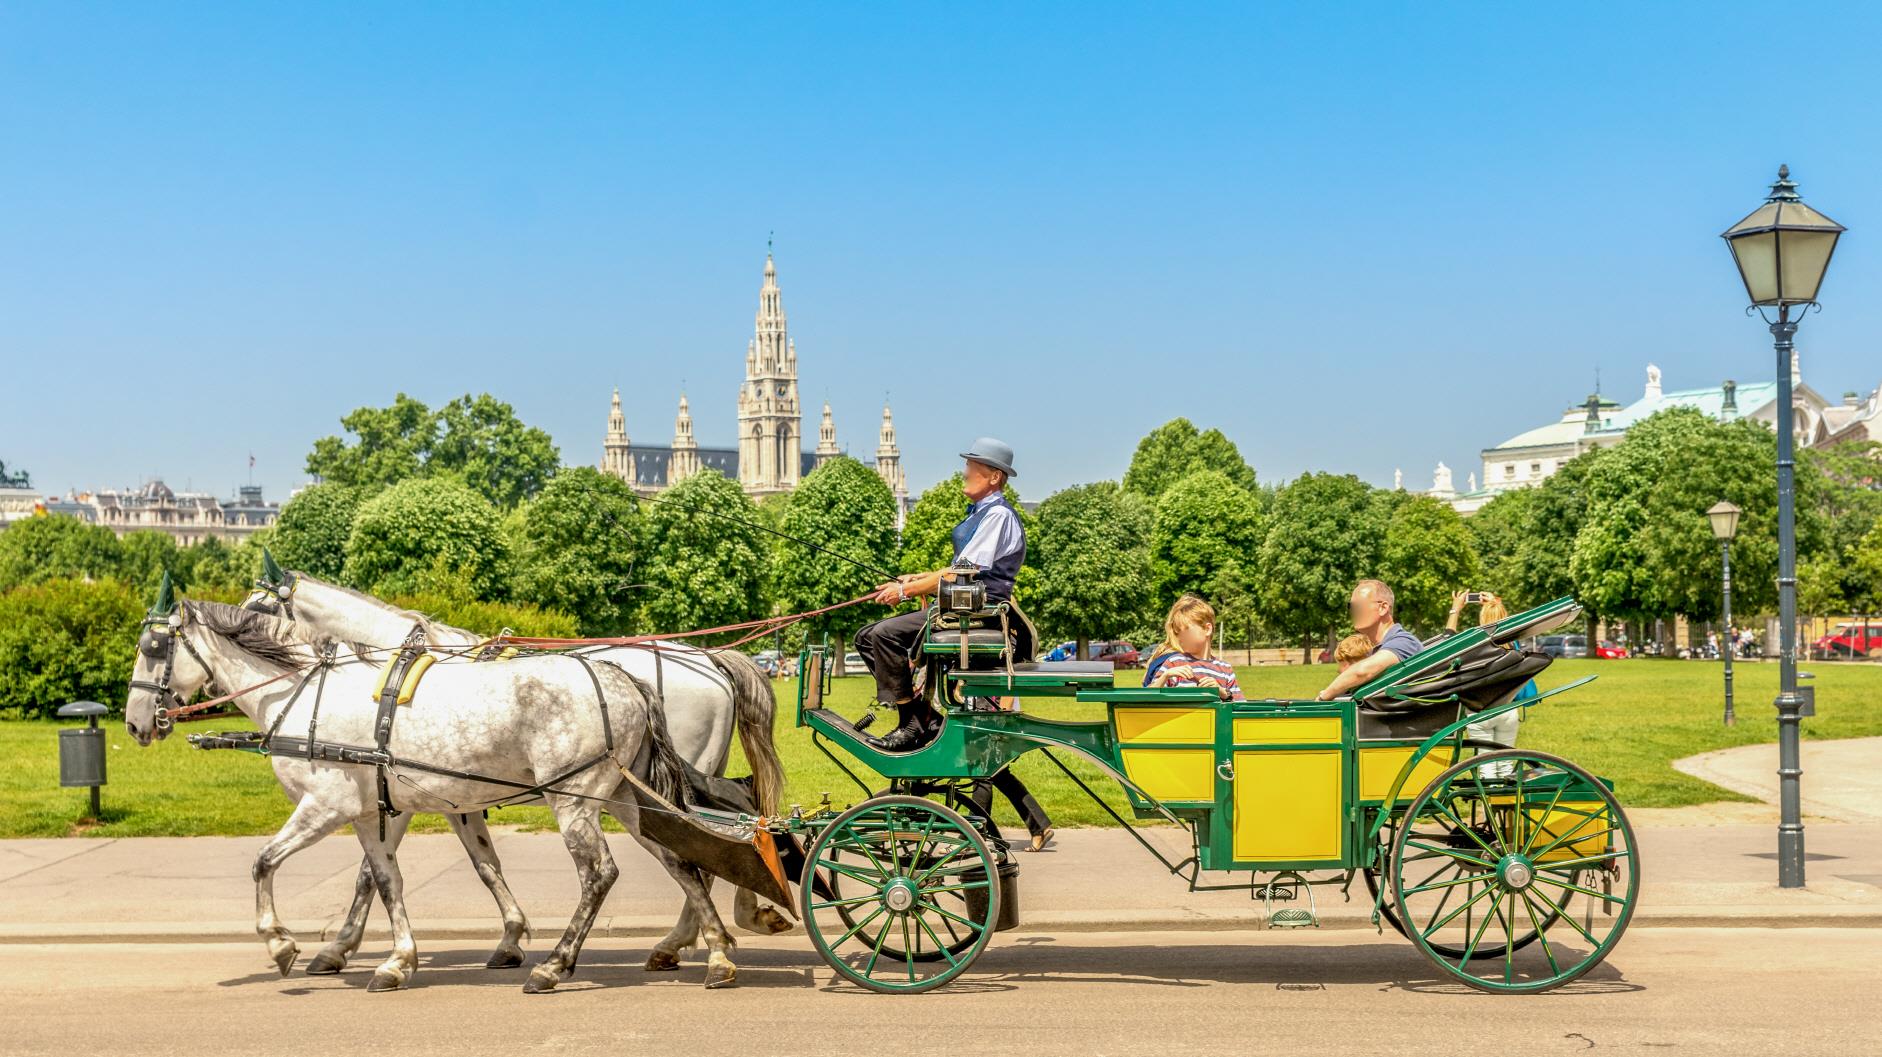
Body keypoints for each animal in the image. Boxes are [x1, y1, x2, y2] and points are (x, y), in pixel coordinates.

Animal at [240, 560, 786, 970]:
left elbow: (370, 873)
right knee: (715, 844)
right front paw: (507, 938)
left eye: (255, 609)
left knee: (702, 855)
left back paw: (684, 939)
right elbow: (476, 866)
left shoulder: (398, 794)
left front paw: (340, 947)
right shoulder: (440, 797)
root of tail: (711, 659)